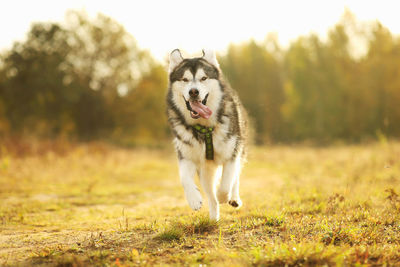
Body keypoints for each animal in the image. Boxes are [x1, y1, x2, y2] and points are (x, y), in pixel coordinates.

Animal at [166, 49, 247, 221]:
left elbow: (227, 182)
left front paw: (224, 196)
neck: (204, 128)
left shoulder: (232, 153)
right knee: (210, 195)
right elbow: (184, 178)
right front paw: (194, 199)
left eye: (203, 78)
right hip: (205, 171)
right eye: (185, 79)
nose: (193, 92)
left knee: (235, 178)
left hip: (240, 149)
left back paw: (233, 198)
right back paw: (213, 217)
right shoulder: (186, 155)